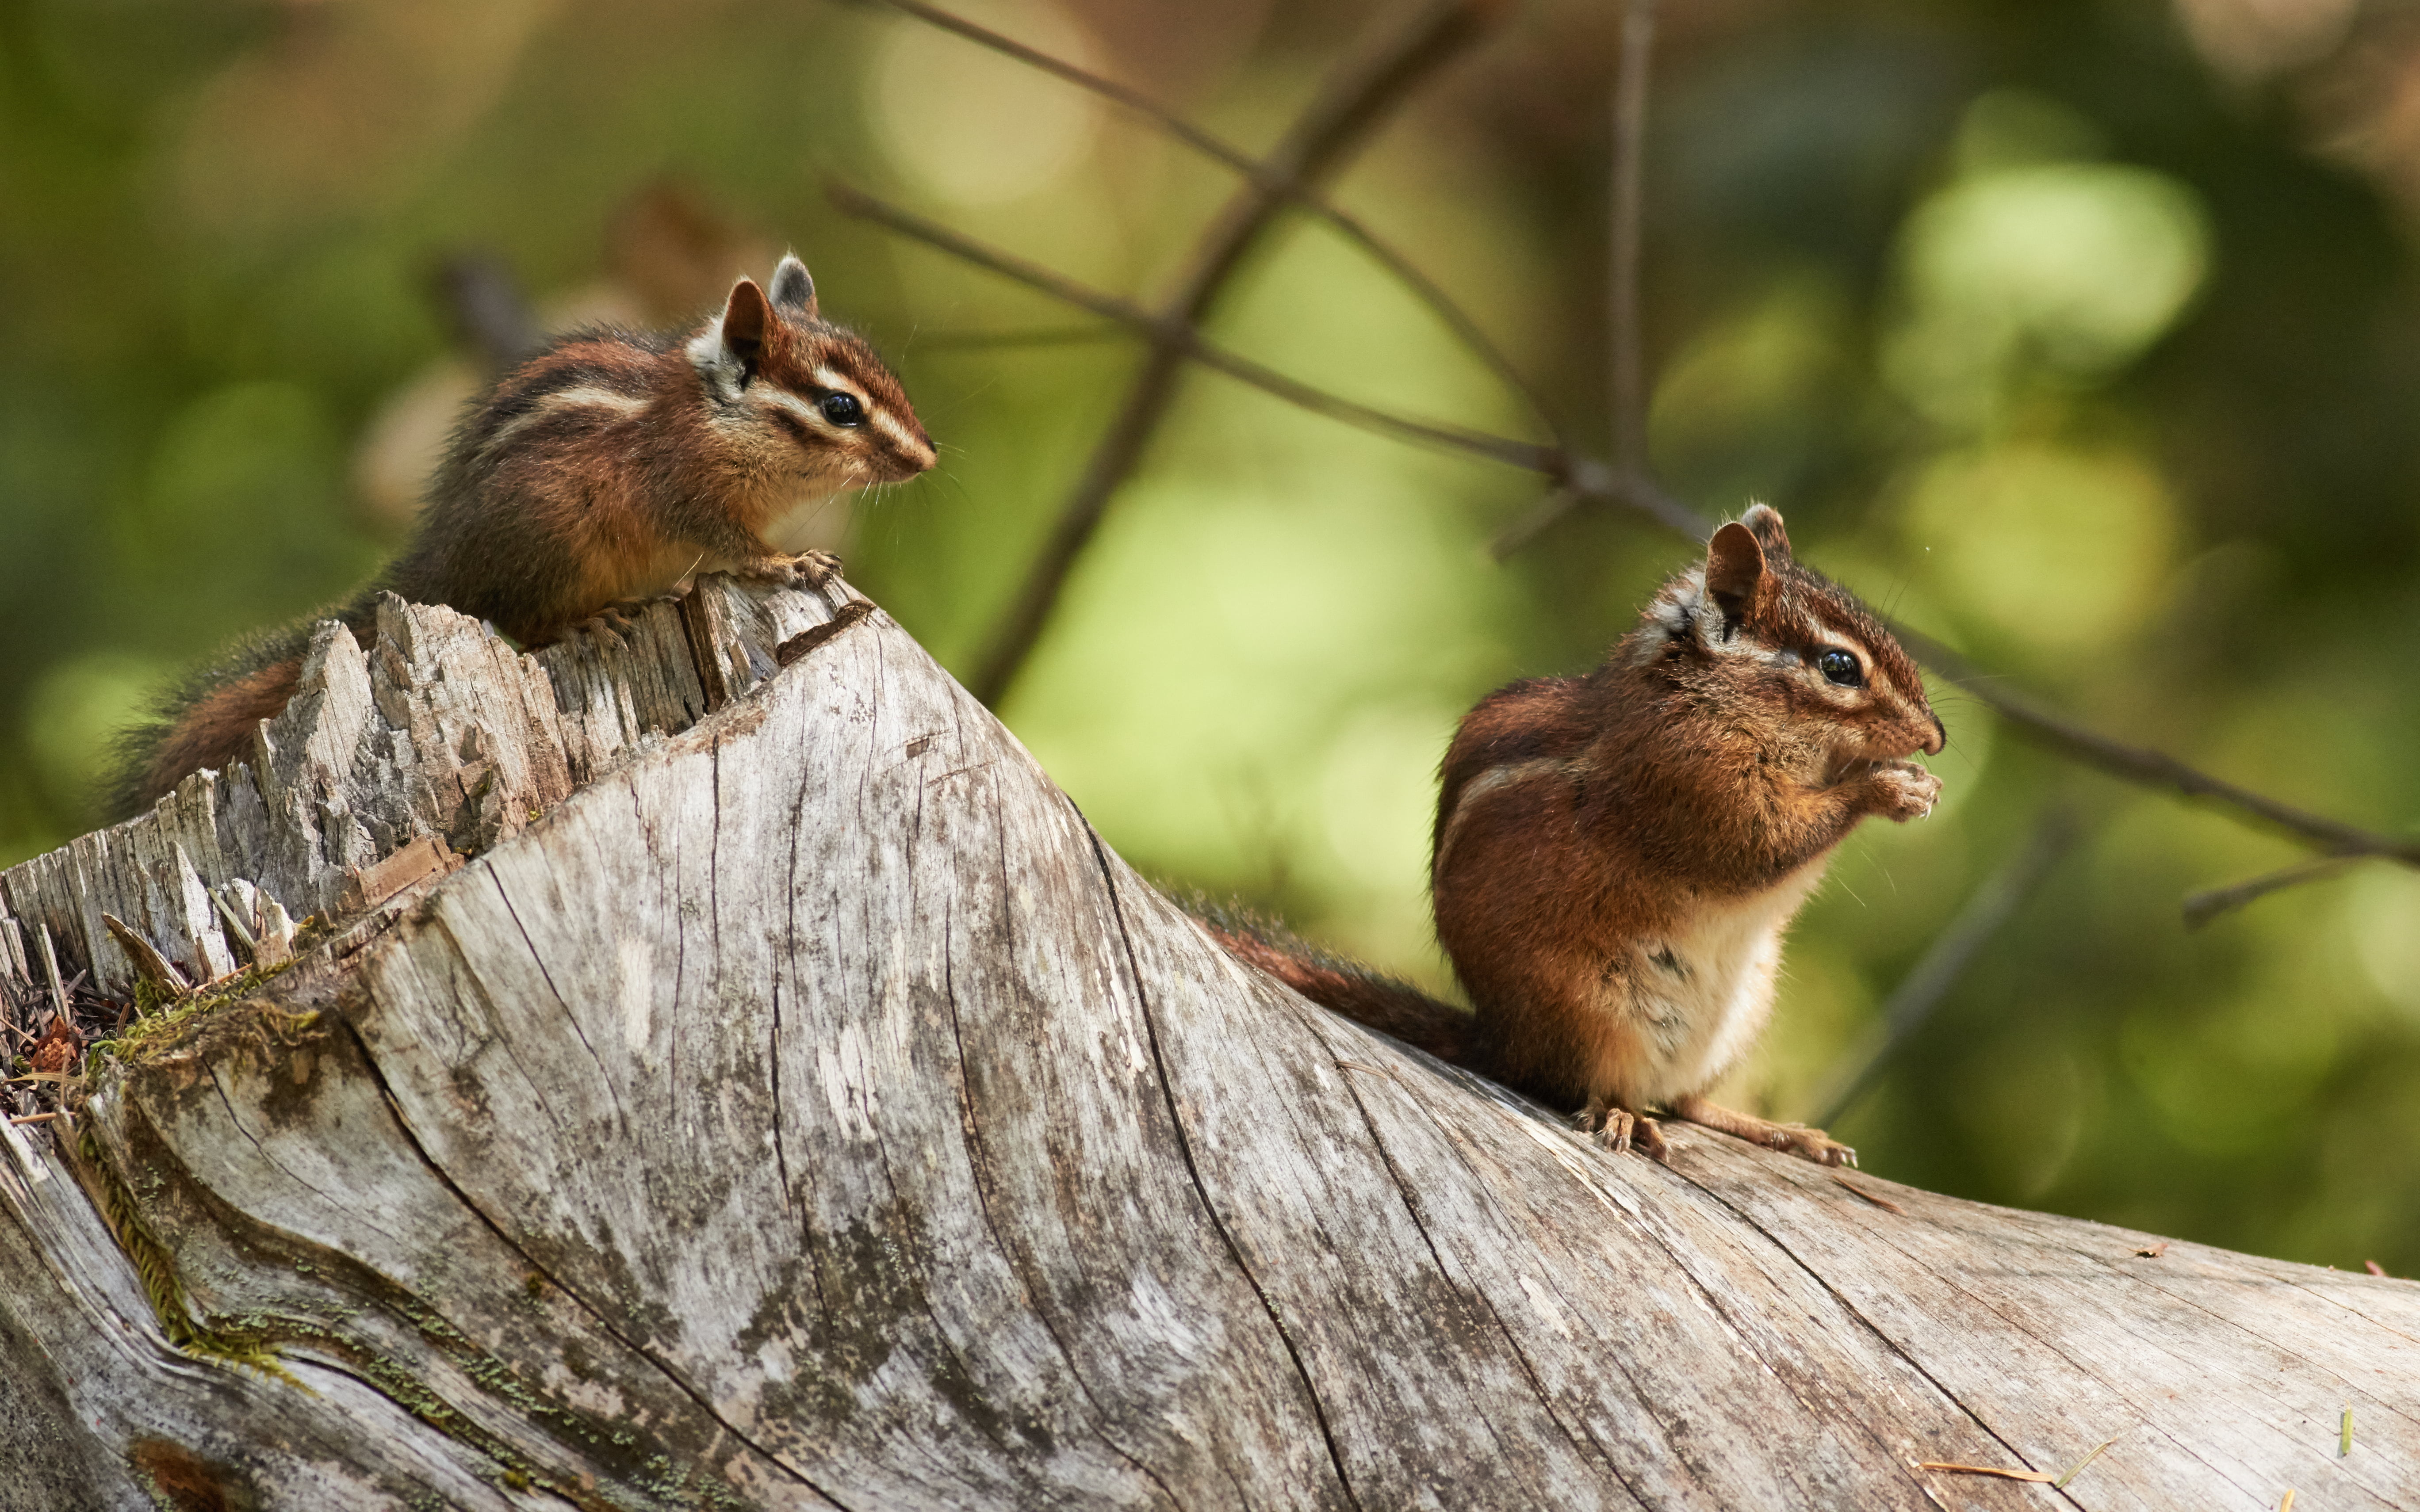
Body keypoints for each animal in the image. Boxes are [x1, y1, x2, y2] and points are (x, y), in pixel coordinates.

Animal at [113, 254, 934, 818]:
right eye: (839, 407)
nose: (926, 458)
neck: (714, 417)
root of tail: (439, 565)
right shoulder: (688, 496)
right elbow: (738, 549)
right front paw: (790, 562)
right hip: (557, 543)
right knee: (521, 623)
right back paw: (590, 621)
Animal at [1205, 504, 1943, 1166]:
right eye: (1839, 667)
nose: (1936, 737)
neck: (1706, 696)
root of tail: (1502, 1042)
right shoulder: (1688, 782)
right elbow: (1762, 844)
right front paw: (1888, 788)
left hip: (1744, 1011)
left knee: (1688, 1100)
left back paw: (1780, 1132)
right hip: (1594, 1011)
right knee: (1600, 1089)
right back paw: (1624, 1116)